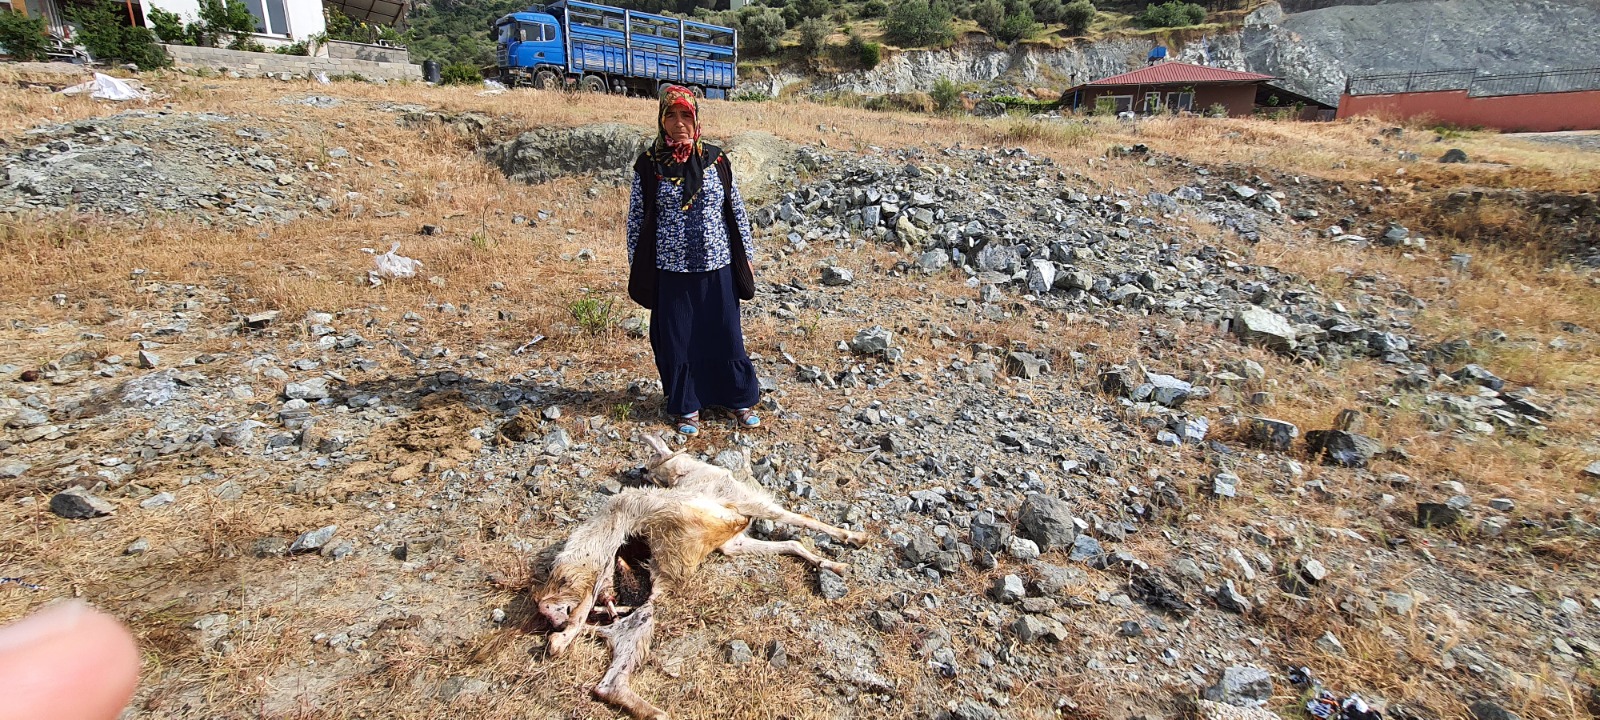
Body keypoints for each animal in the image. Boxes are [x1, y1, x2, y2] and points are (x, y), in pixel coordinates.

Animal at [534, 432, 864, 720]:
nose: (642, 471)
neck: (685, 473)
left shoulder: (733, 542)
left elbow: (792, 543)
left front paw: (833, 565)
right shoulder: (748, 504)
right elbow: (800, 519)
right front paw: (853, 537)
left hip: (637, 618)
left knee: (606, 681)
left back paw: (653, 710)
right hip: (601, 544)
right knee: (559, 608)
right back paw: (561, 625)